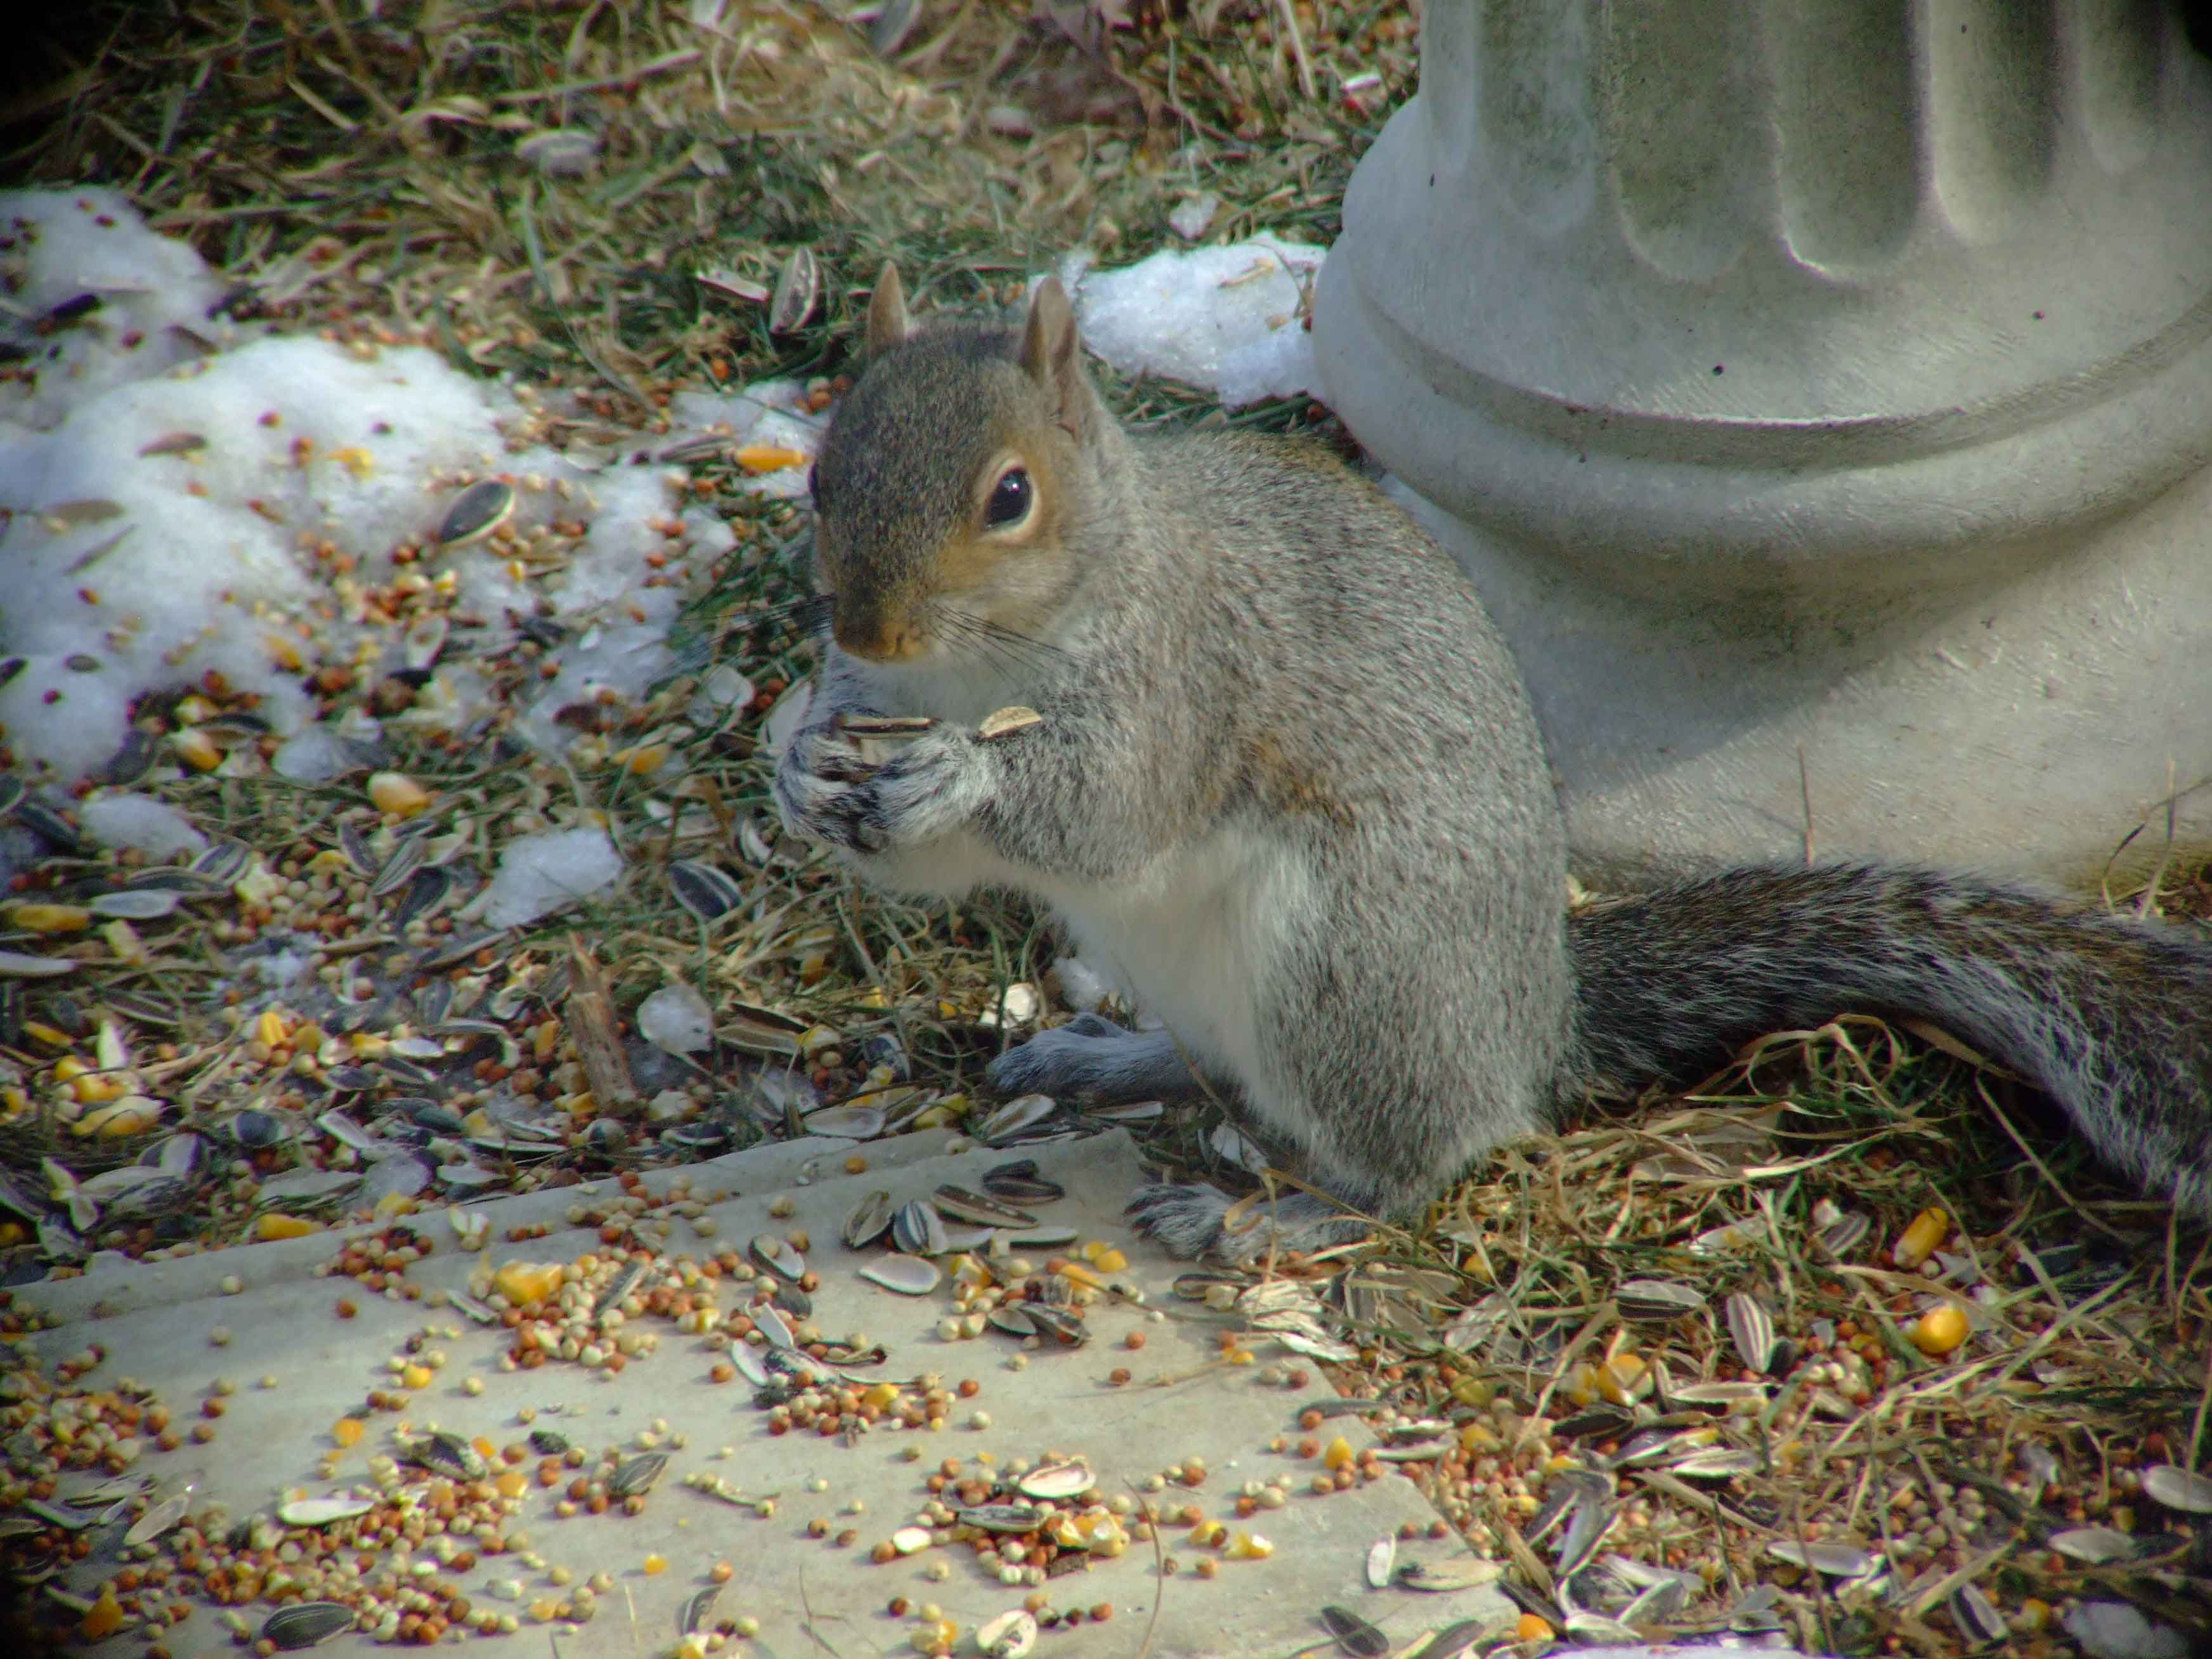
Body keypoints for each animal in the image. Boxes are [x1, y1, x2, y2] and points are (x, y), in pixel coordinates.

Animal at [774, 266, 2212, 1265]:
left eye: (1009, 497)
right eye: (820, 478)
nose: (866, 631)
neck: (978, 670)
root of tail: (1537, 1022)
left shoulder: (1185, 676)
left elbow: (1110, 808)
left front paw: (958, 779)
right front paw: (796, 763)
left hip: (1352, 978)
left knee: (1426, 1157)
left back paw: (1292, 1218)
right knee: (1216, 1064)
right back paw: (1109, 1061)